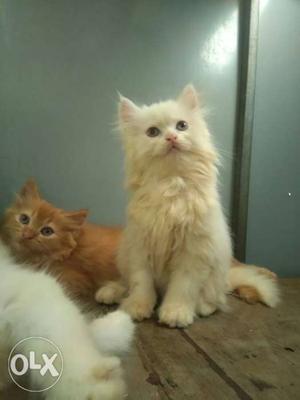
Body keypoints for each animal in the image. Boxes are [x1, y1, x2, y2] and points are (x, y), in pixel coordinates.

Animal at [97, 84, 280, 328]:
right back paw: (112, 292)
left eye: (182, 126)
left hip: (216, 272)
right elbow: (141, 285)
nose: (171, 137)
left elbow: (182, 289)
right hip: (124, 255)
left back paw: (202, 307)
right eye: (153, 132)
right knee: (125, 283)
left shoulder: (193, 253)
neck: (172, 185)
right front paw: (136, 308)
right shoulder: (140, 249)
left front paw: (175, 313)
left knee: (215, 298)